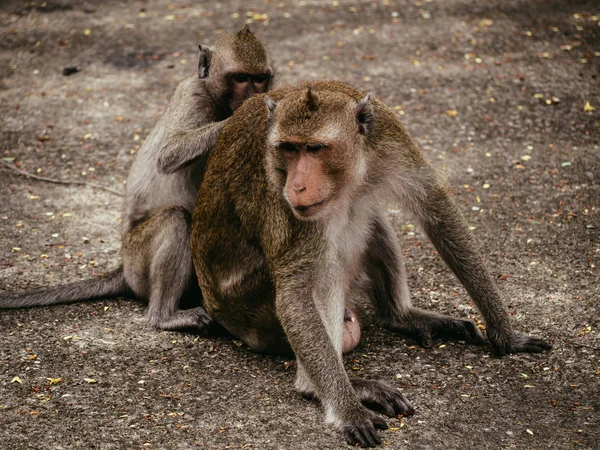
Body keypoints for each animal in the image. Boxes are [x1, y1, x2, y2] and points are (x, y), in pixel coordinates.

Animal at [0, 25, 272, 334]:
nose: (254, 93)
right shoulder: (193, 96)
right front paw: (258, 112)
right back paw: (164, 316)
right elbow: (169, 153)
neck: (216, 98)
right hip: (137, 260)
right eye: (240, 78)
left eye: (259, 78)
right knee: (174, 220)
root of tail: (124, 269)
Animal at [192, 81, 552, 446]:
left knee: (368, 215)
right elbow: (297, 288)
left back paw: (401, 316)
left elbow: (435, 209)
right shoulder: (282, 198)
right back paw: (322, 387)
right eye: (289, 149)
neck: (350, 173)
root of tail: (216, 308)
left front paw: (506, 333)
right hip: (251, 309)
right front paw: (348, 410)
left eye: (315, 148)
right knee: (327, 271)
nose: (298, 185)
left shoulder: (390, 138)